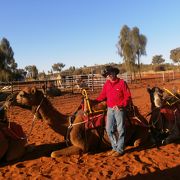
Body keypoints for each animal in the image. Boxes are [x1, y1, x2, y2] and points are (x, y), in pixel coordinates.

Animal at [15, 86, 150, 157]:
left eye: (22, 94)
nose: (12, 99)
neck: (68, 123)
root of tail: (142, 118)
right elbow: (52, 148)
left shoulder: (81, 146)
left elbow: (53, 154)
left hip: (140, 129)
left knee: (137, 142)